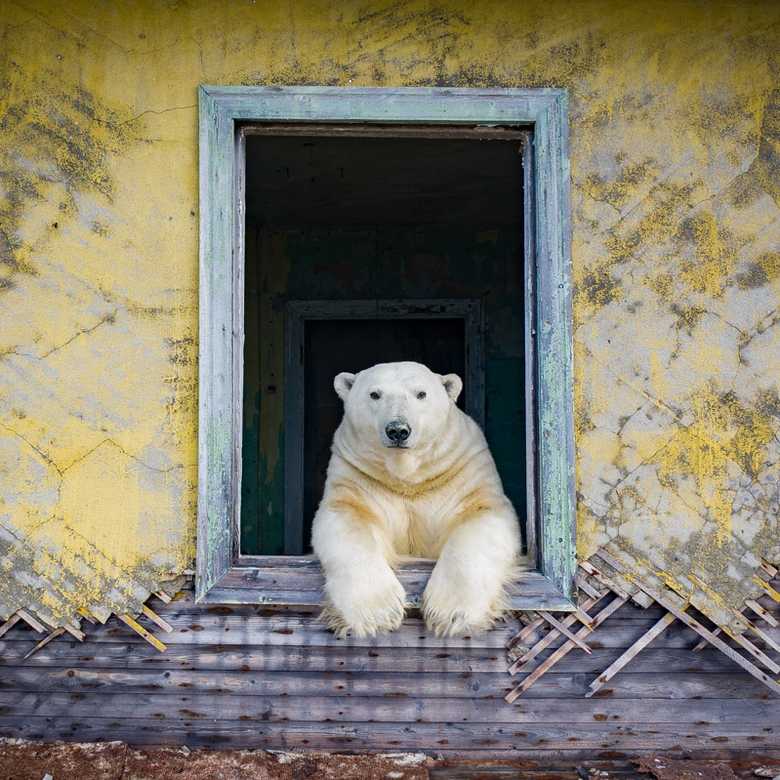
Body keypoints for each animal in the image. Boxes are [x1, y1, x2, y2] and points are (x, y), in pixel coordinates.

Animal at [311, 360, 522, 638]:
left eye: (421, 394)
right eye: (374, 394)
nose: (398, 430)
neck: (407, 478)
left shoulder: (462, 470)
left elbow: (482, 516)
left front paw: (450, 614)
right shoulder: (357, 475)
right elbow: (347, 519)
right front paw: (376, 614)